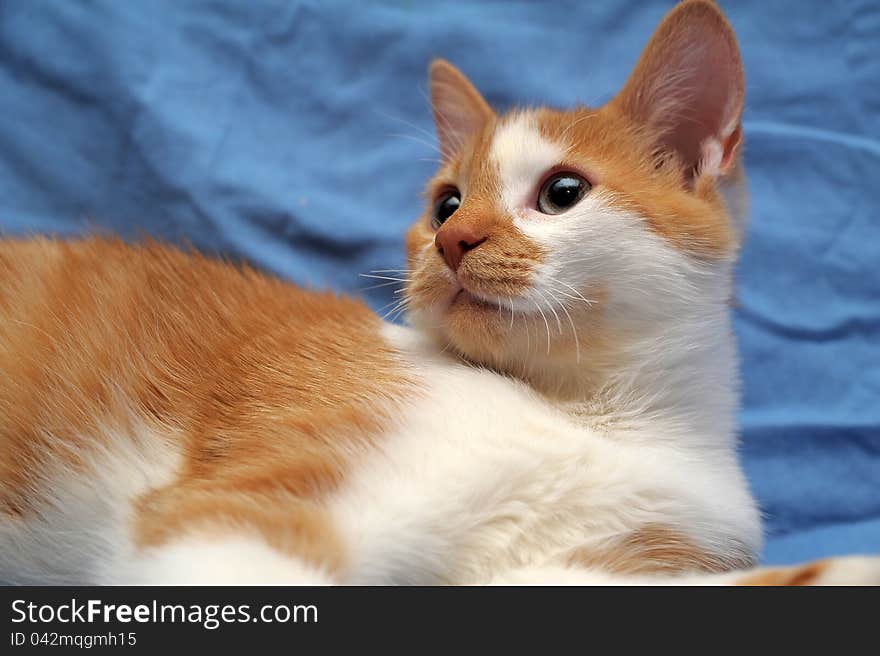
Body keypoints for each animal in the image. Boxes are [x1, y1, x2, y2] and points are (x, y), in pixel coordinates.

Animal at [0, 0, 876, 584]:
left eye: (562, 193)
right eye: (447, 204)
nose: (456, 242)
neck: (599, 417)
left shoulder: (593, 561)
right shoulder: (248, 502)